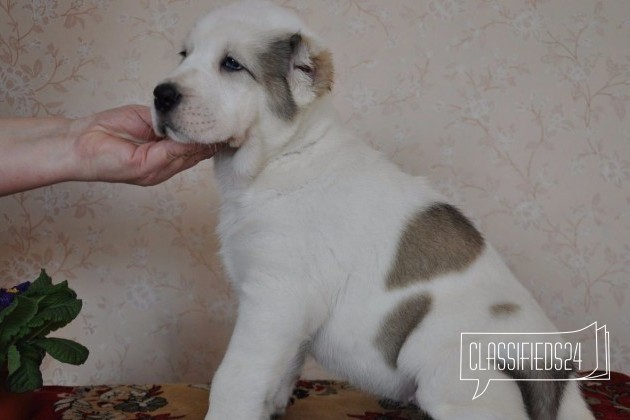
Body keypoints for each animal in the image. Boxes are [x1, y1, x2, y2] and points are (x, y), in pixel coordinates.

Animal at [153, 1, 596, 418]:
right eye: (184, 55)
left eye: (232, 64)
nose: (160, 94)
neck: (283, 157)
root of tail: (559, 382)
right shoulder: (289, 314)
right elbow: (281, 369)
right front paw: (272, 406)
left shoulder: (274, 297)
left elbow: (236, 376)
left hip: (445, 362)